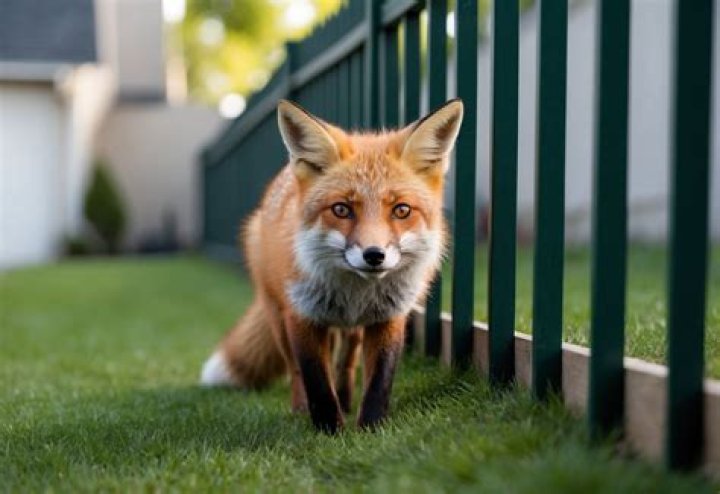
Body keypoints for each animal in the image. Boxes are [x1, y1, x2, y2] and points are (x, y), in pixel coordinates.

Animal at [200, 98, 464, 432]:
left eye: (402, 210)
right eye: (341, 209)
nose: (374, 255)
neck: (354, 293)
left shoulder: (389, 317)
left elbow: (379, 380)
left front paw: (370, 428)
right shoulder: (302, 315)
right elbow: (316, 381)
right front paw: (329, 430)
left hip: (353, 331)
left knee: (346, 362)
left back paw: (347, 400)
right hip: (278, 316)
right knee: (294, 369)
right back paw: (300, 409)